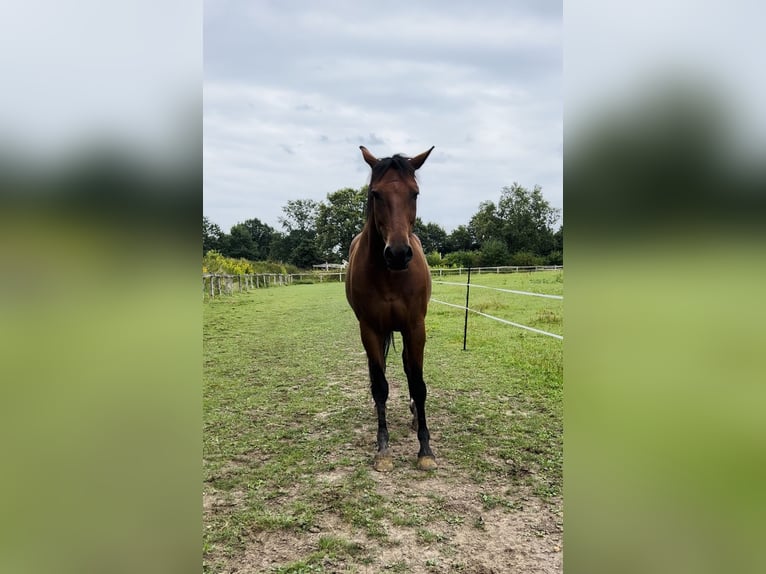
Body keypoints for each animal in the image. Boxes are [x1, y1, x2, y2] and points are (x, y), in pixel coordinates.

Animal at [348, 146, 438, 474]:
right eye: (376, 194)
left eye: (415, 193)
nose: (398, 254)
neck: (390, 275)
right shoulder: (371, 330)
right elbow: (380, 387)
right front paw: (383, 449)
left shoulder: (415, 328)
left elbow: (418, 383)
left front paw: (425, 450)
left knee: (409, 368)